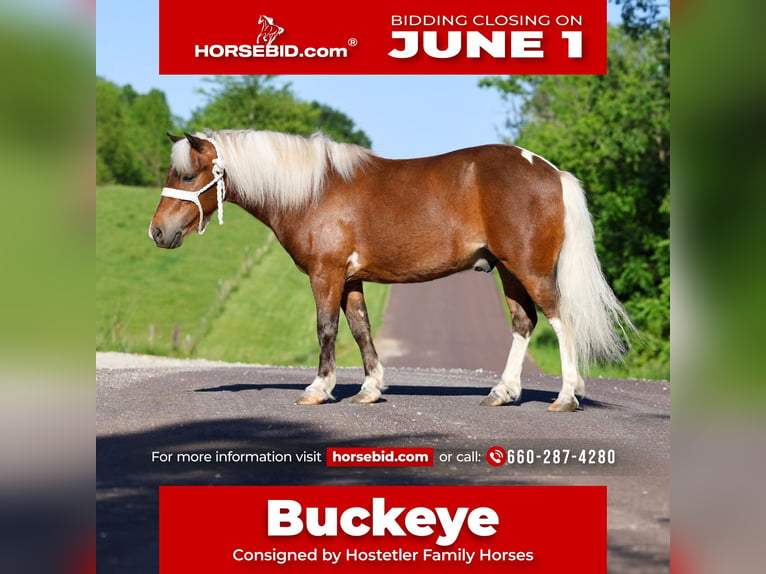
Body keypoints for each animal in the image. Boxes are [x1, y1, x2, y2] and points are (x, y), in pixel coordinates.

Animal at [149, 130, 634, 412]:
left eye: (188, 176)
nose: (157, 231)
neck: (314, 191)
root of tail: (552, 172)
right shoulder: (351, 280)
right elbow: (361, 329)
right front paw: (370, 388)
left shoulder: (326, 275)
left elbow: (326, 329)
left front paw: (318, 389)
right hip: (510, 272)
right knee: (524, 322)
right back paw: (502, 392)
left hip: (530, 269)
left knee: (560, 319)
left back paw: (567, 395)